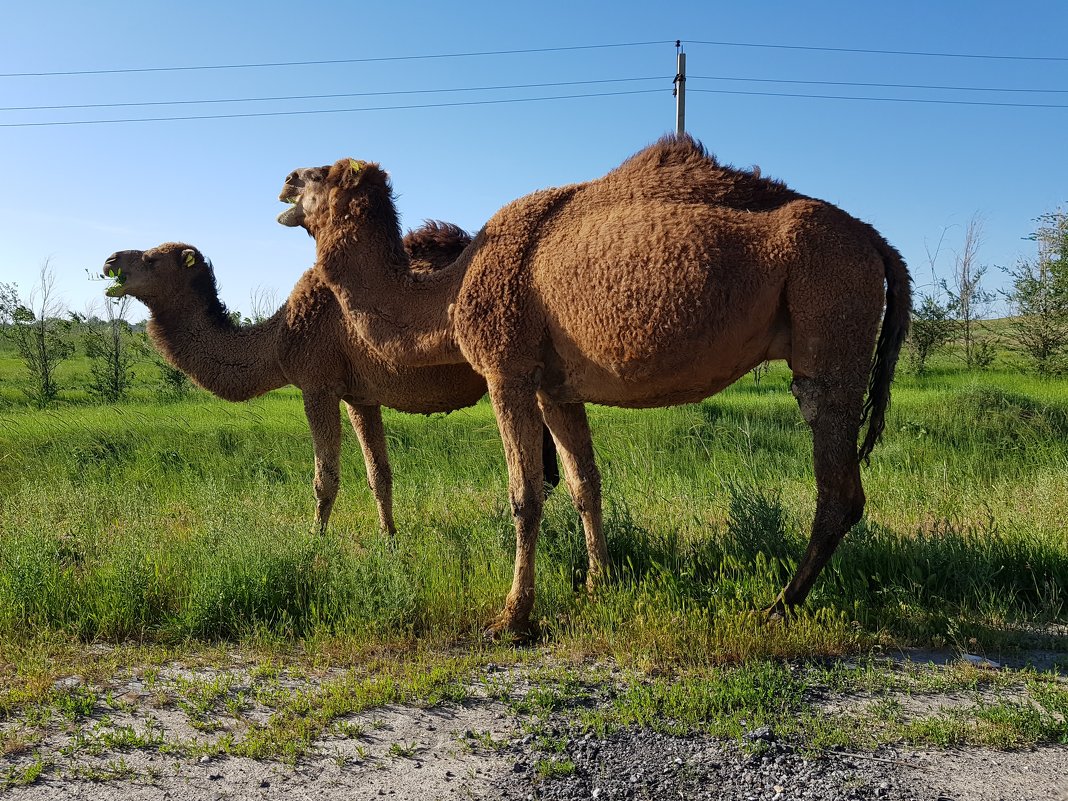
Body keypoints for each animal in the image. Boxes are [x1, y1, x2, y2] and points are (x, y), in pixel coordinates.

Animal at [101, 228, 559, 536]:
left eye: (152, 259)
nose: (109, 261)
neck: (279, 338)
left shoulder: (317, 384)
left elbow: (325, 478)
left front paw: (315, 540)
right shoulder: (360, 395)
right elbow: (379, 474)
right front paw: (388, 538)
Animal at [275, 137, 909, 640]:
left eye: (321, 174)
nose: (284, 179)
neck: (451, 295)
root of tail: (877, 241)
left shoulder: (507, 369)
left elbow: (525, 494)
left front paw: (512, 617)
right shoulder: (556, 388)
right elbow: (585, 484)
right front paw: (598, 584)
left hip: (830, 325)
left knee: (837, 486)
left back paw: (777, 607)